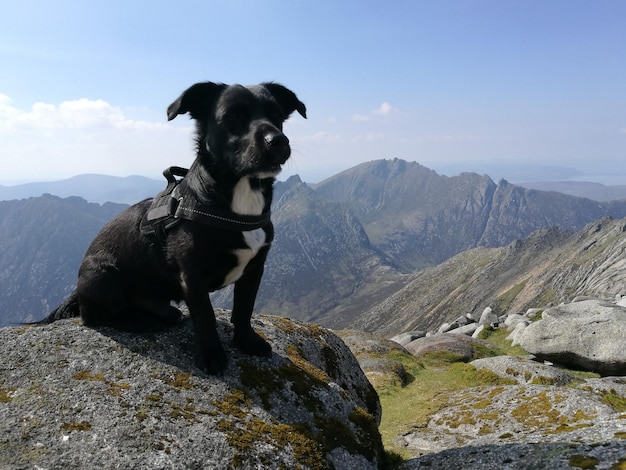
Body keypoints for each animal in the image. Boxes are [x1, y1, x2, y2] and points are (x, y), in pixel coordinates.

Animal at [37, 81, 306, 374]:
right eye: (233, 116)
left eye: (277, 116)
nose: (278, 140)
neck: (238, 200)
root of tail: (78, 291)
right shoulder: (192, 275)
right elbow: (206, 316)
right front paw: (211, 355)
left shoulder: (255, 269)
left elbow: (244, 308)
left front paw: (247, 341)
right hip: (103, 275)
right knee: (95, 317)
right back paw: (137, 321)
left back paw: (164, 313)